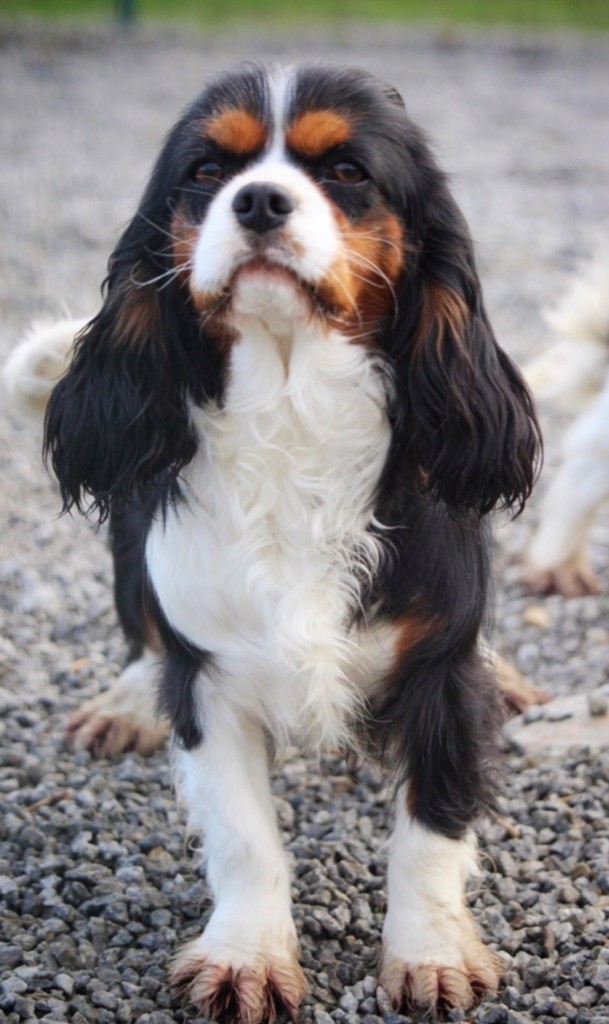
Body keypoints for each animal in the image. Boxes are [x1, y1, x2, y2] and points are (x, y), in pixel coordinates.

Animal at [3, 64, 540, 1024]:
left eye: (348, 172)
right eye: (208, 170)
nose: (256, 201)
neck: (293, 408)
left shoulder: (440, 672)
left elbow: (431, 831)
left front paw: (430, 953)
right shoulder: (212, 681)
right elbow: (243, 836)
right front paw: (246, 958)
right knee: (141, 624)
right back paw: (128, 699)